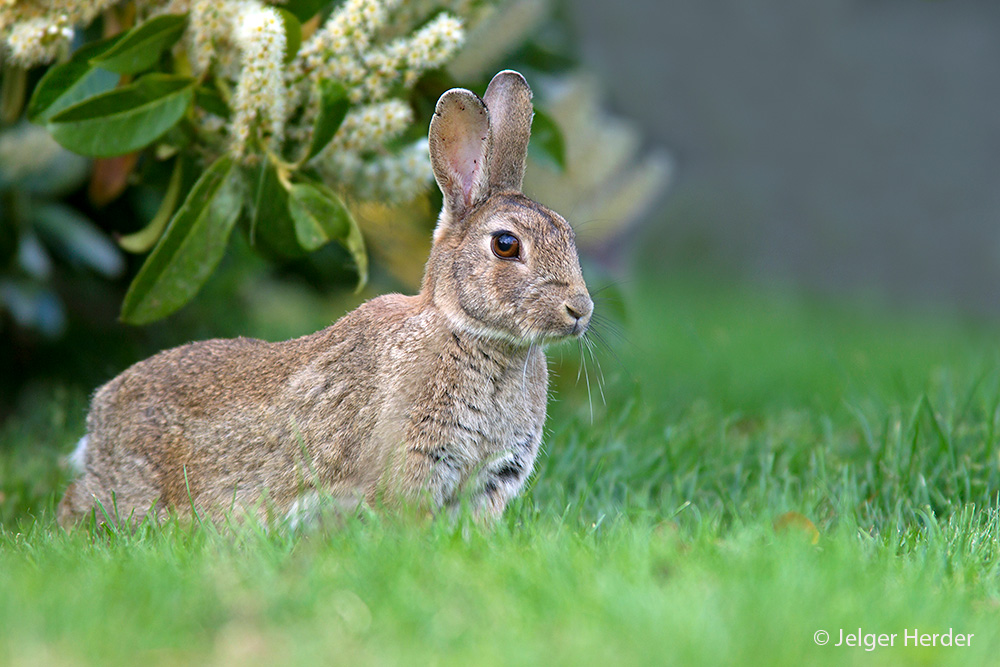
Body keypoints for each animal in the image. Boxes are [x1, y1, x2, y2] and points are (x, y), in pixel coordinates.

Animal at [58, 70, 592, 528]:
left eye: (568, 234)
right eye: (505, 245)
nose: (580, 311)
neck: (467, 331)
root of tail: (96, 420)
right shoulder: (414, 459)